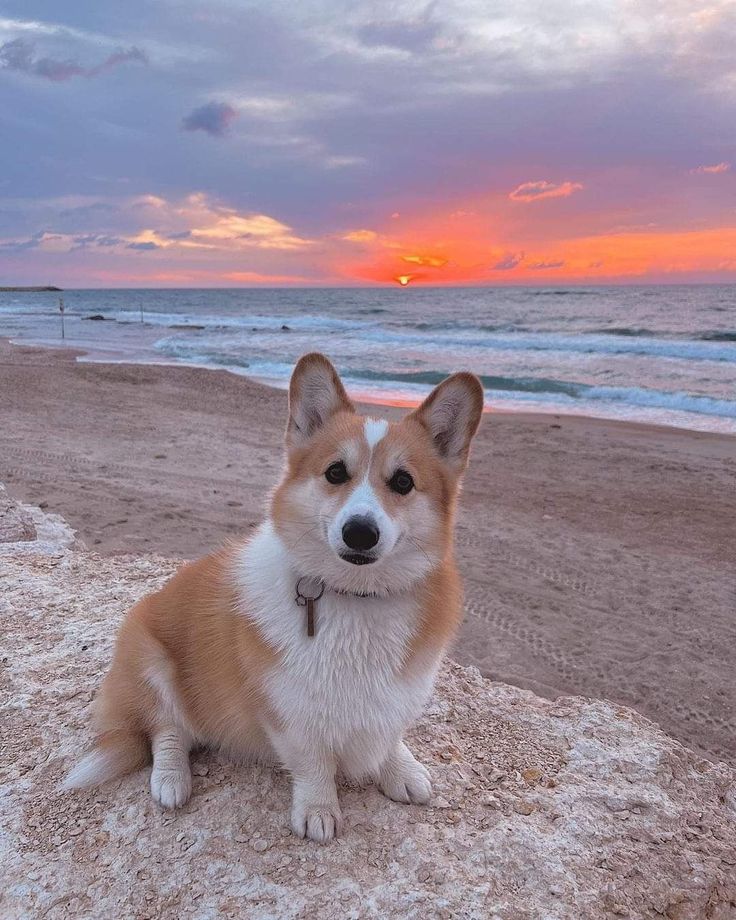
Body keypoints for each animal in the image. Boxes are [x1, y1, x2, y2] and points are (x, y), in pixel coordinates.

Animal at [64, 352, 484, 840]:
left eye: (402, 482)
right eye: (335, 472)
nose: (360, 532)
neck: (355, 595)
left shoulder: (397, 691)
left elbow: (390, 733)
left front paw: (400, 769)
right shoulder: (287, 709)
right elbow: (313, 763)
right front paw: (319, 810)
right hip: (150, 659)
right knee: (166, 729)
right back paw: (170, 779)